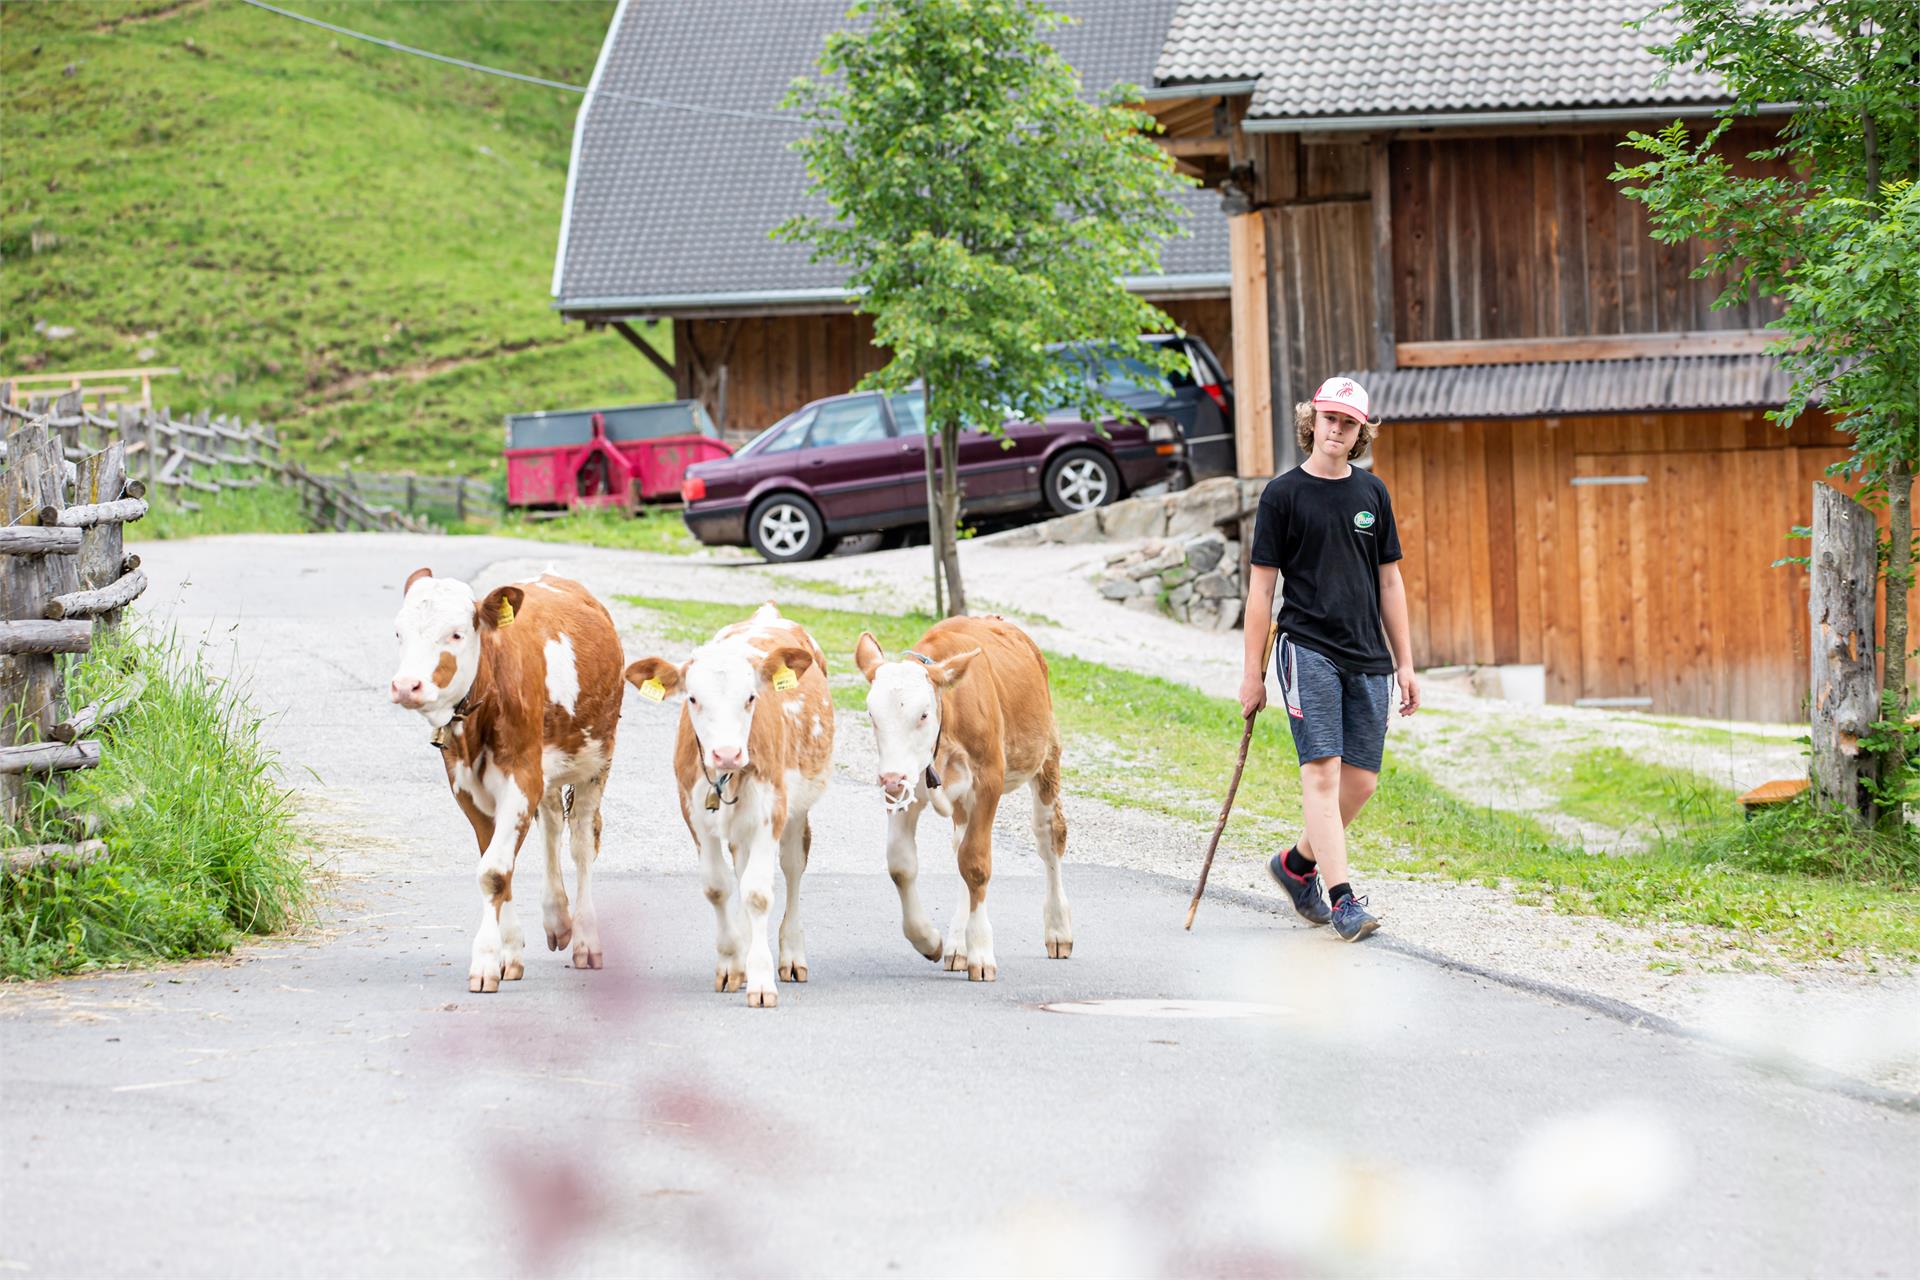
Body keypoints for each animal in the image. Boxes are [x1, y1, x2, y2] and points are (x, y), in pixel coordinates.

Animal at [385, 564, 625, 997]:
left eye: (456, 634)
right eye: (399, 632)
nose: (406, 686)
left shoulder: (521, 777)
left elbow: (495, 871)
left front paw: (483, 962)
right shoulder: (466, 787)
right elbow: (497, 867)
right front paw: (508, 953)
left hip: (596, 761)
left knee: (581, 843)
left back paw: (585, 939)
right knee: (552, 825)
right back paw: (556, 919)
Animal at [625, 602, 837, 1013]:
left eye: (751, 697)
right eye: (693, 698)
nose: (727, 753)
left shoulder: (771, 810)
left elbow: (757, 893)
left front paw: (761, 979)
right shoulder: (692, 812)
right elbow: (718, 887)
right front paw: (731, 964)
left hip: (796, 809)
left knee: (792, 867)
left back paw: (791, 955)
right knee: (739, 869)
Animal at [860, 614, 1075, 982]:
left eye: (923, 714)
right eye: (873, 715)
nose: (890, 778)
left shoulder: (988, 782)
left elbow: (976, 864)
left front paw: (982, 953)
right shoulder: (907, 787)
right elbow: (902, 866)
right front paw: (928, 939)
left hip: (1047, 755)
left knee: (1049, 836)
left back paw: (1058, 930)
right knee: (959, 845)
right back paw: (957, 945)